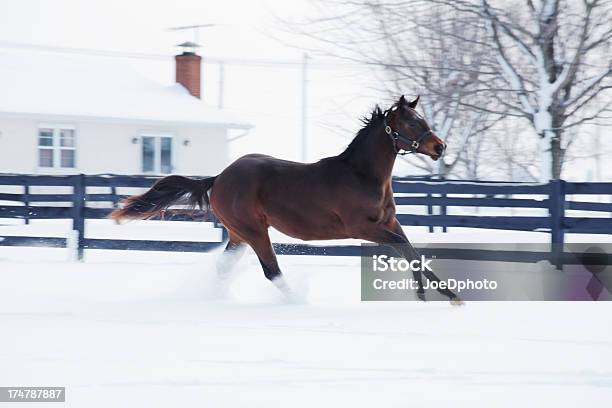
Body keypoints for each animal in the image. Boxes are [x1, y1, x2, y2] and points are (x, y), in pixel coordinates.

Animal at [111, 95, 464, 304]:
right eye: (411, 122)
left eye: (423, 120)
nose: (440, 147)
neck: (361, 176)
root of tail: (219, 177)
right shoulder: (361, 228)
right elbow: (407, 250)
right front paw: (440, 296)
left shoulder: (389, 222)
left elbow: (412, 251)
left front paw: (438, 295)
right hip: (254, 231)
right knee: (271, 270)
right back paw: (296, 302)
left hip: (238, 235)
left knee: (224, 269)